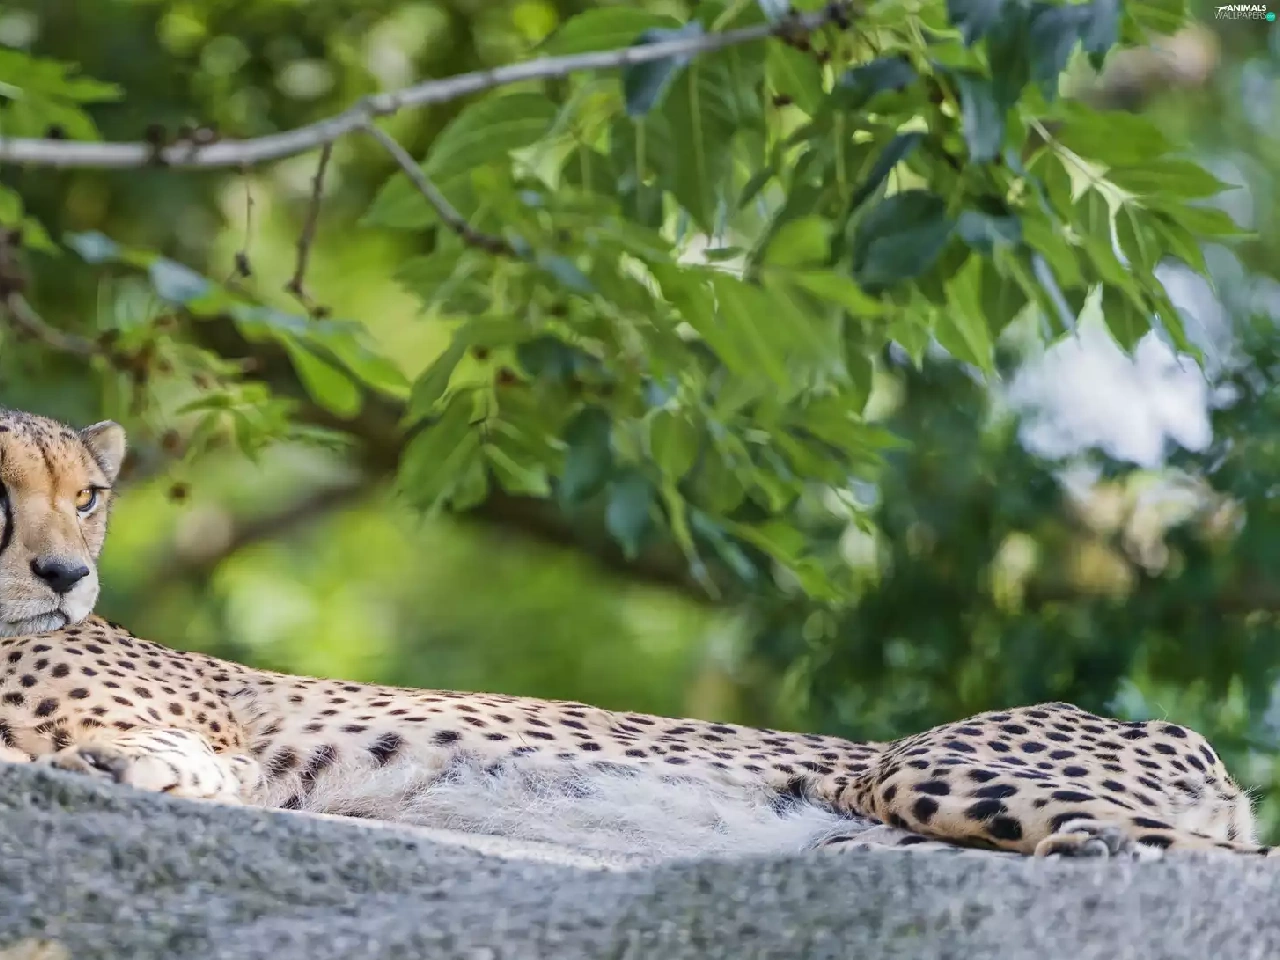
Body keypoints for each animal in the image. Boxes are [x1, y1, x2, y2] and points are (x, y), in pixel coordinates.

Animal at [0, 405, 1273, 864]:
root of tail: (1183, 736)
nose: (67, 575)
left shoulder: (214, 752)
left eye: (88, 495)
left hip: (917, 771)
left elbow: (128, 757)